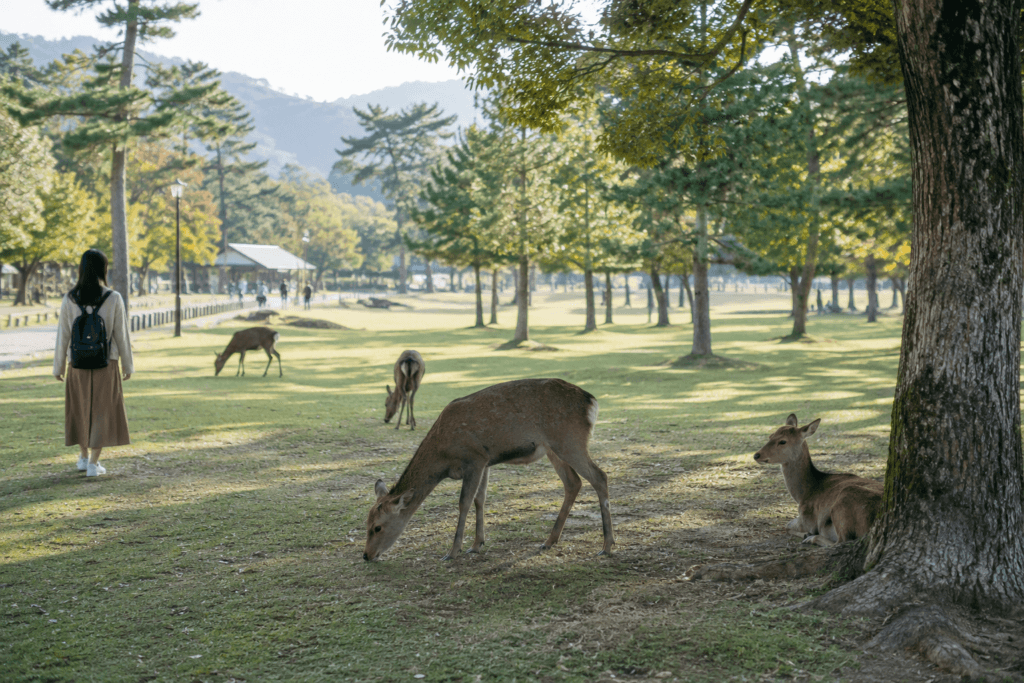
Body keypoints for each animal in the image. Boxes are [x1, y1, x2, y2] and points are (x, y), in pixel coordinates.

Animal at [364, 378, 613, 561]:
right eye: (366, 522)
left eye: (377, 527)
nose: (366, 555)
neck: (443, 456)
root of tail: (592, 402)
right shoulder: (485, 461)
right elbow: (480, 499)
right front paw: (477, 544)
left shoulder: (473, 458)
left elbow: (464, 502)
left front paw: (453, 551)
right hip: (554, 448)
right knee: (573, 482)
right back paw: (550, 541)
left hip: (570, 440)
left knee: (599, 476)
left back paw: (607, 545)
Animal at [754, 414, 883, 547]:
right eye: (770, 436)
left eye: (783, 441)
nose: (756, 455)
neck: (803, 495)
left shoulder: (807, 519)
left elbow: (787, 525)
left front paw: (806, 534)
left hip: (844, 504)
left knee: (842, 541)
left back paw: (811, 538)